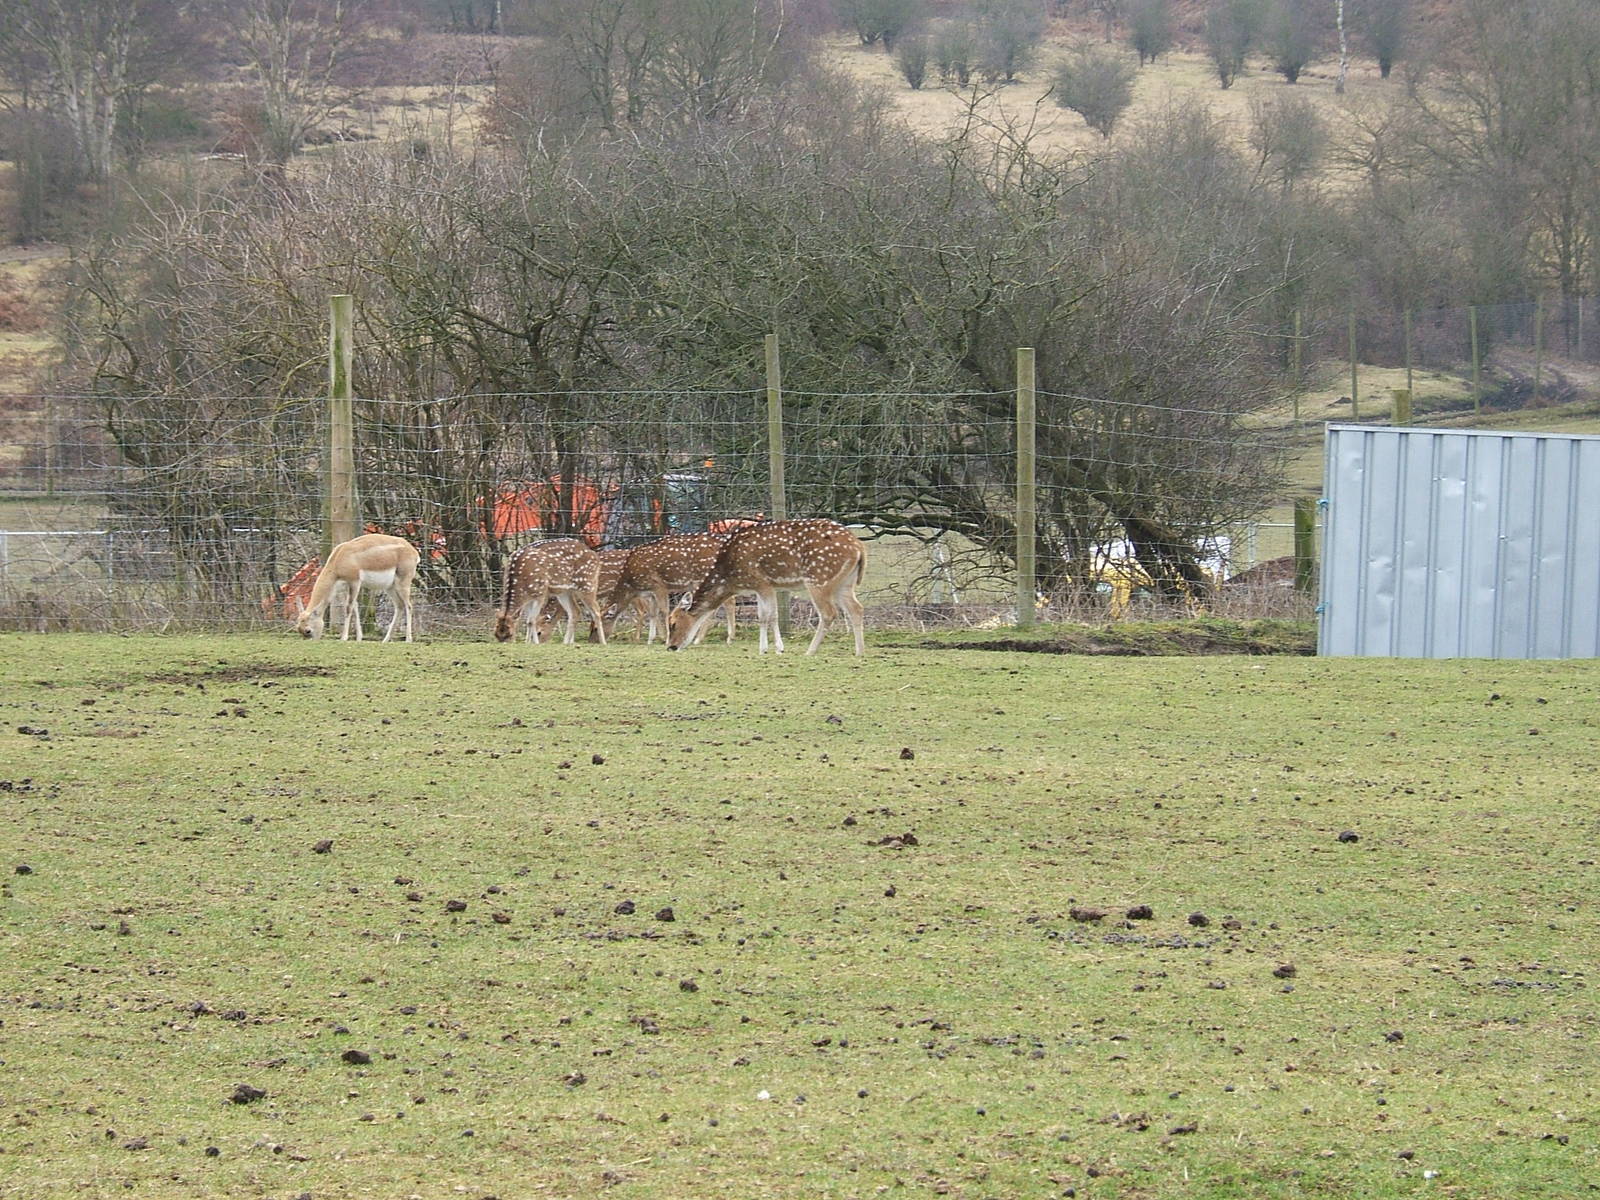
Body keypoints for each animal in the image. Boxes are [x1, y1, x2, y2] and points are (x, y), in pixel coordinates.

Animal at [668, 519, 866, 655]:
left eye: (673, 623)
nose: (671, 646)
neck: (732, 578)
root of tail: (858, 547)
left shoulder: (763, 583)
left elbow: (769, 616)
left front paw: (775, 648)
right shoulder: (762, 587)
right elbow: (764, 617)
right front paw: (767, 649)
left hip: (819, 578)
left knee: (829, 613)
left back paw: (810, 651)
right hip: (845, 582)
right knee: (856, 608)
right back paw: (859, 651)